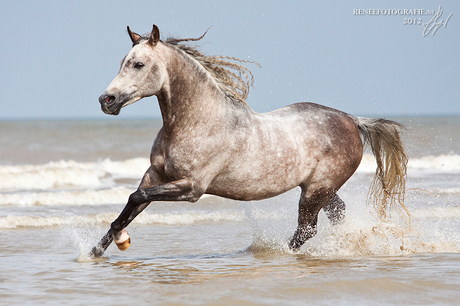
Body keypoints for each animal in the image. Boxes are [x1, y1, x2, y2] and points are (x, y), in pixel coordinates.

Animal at [91, 24, 408, 258]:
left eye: (138, 64)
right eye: (123, 63)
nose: (107, 100)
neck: (196, 122)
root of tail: (352, 119)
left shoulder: (192, 187)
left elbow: (136, 198)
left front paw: (121, 240)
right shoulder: (155, 175)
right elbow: (132, 204)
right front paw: (98, 249)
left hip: (317, 191)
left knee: (306, 229)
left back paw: (279, 253)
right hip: (321, 190)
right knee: (336, 216)